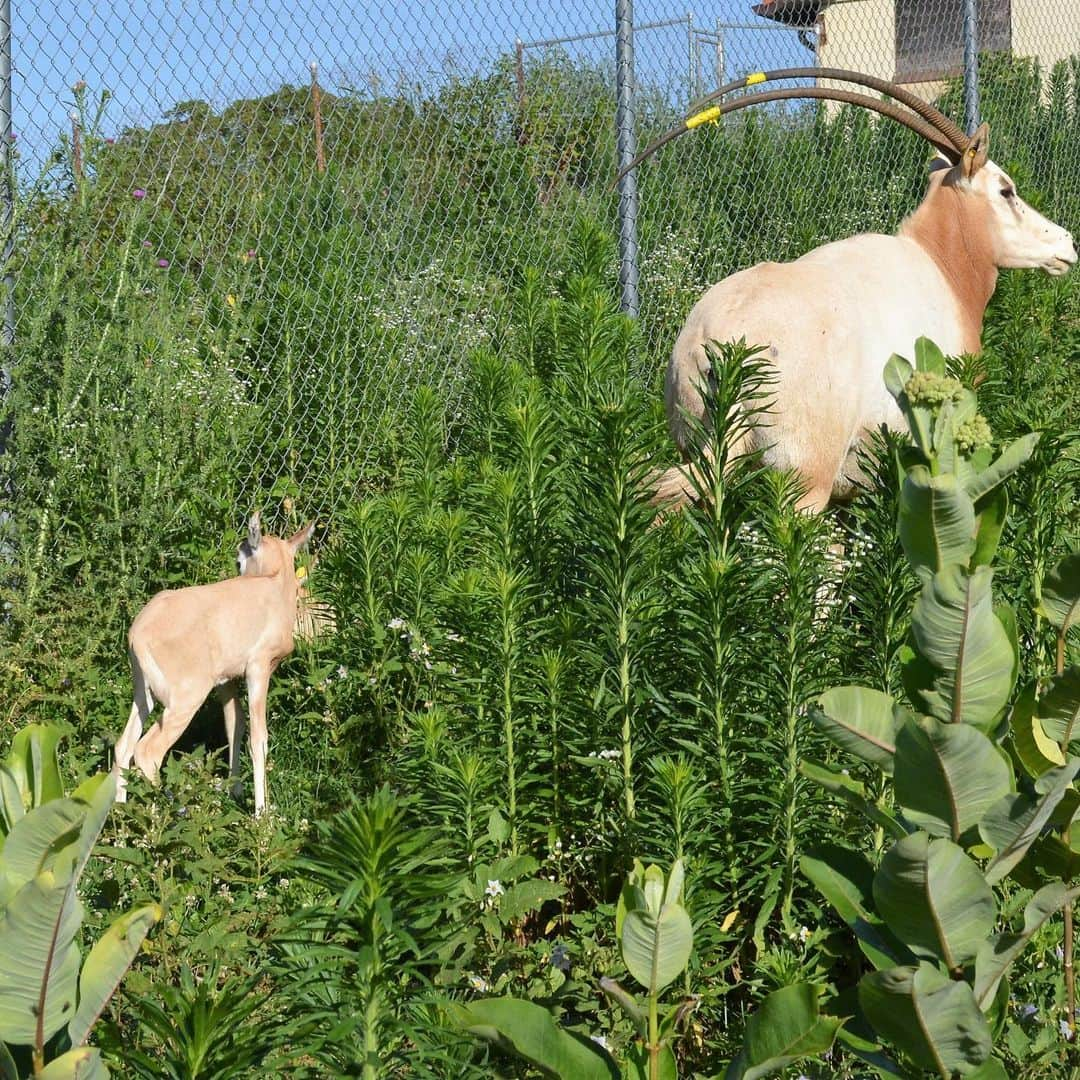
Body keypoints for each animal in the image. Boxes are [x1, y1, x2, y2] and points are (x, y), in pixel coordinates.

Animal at [115, 511, 315, 812]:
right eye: (239, 560)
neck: (275, 585)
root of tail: (138, 631)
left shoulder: (226, 680)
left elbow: (235, 725)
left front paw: (236, 793)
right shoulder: (258, 669)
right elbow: (259, 738)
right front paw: (261, 813)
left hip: (143, 693)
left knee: (124, 746)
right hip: (186, 699)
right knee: (148, 751)